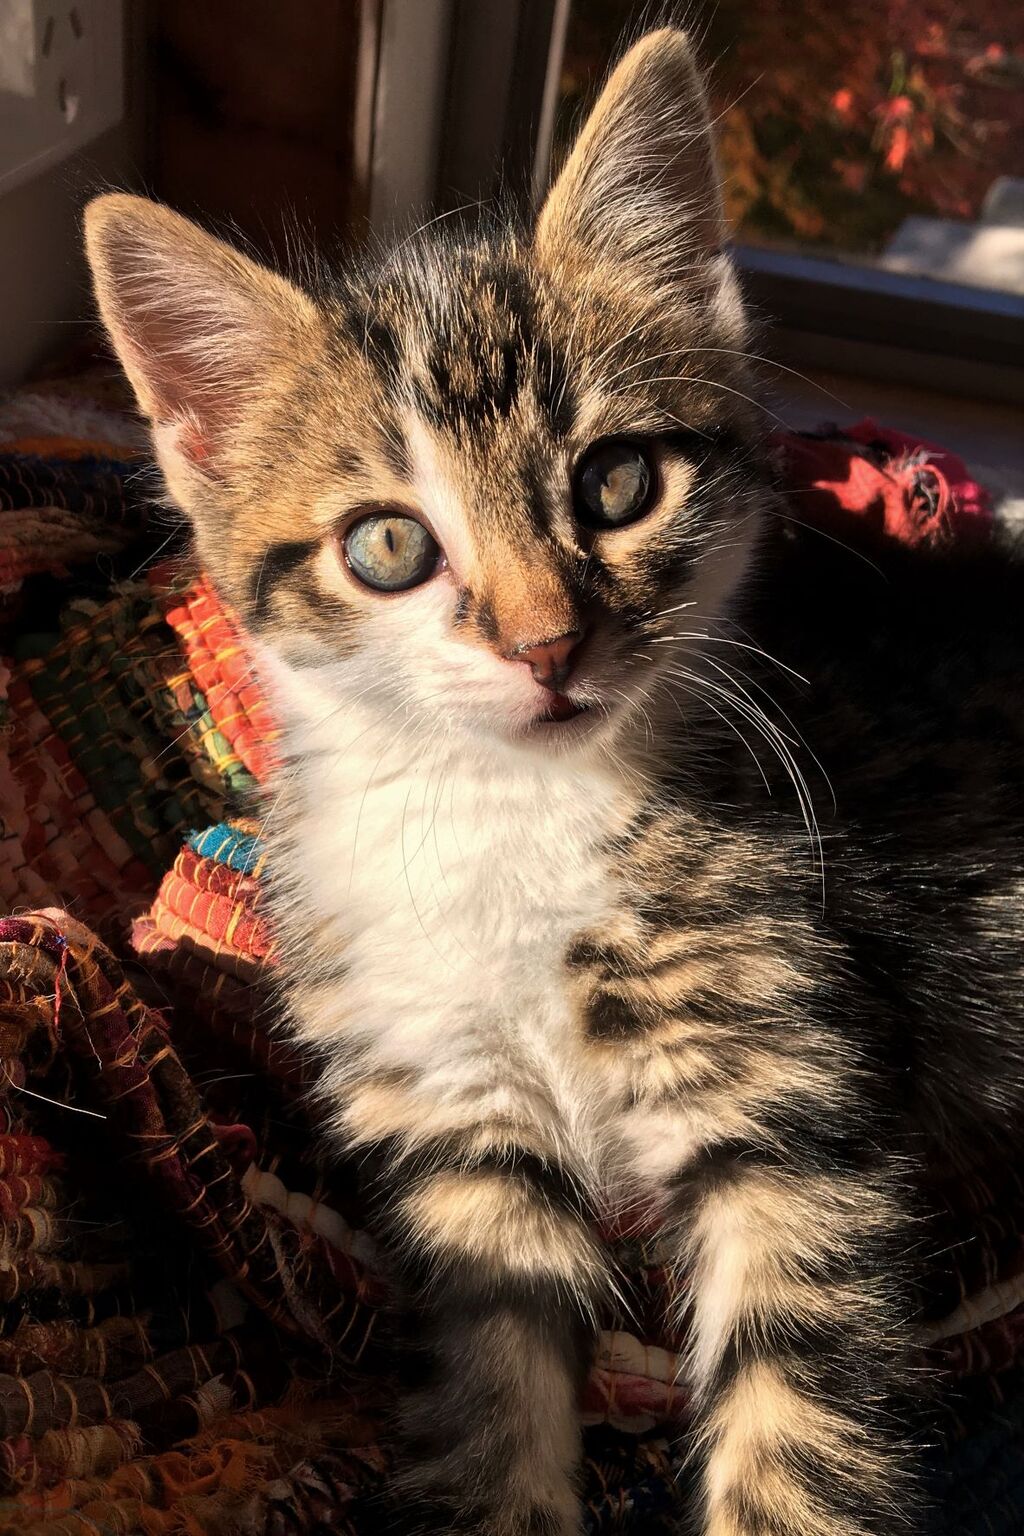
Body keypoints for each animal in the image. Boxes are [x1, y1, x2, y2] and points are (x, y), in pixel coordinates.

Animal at [83, 26, 1024, 1536]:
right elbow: (494, 1384)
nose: (544, 643)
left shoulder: (788, 1100)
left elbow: (794, 1436)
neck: (507, 814)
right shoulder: (453, 1123)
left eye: (618, 481)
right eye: (390, 546)